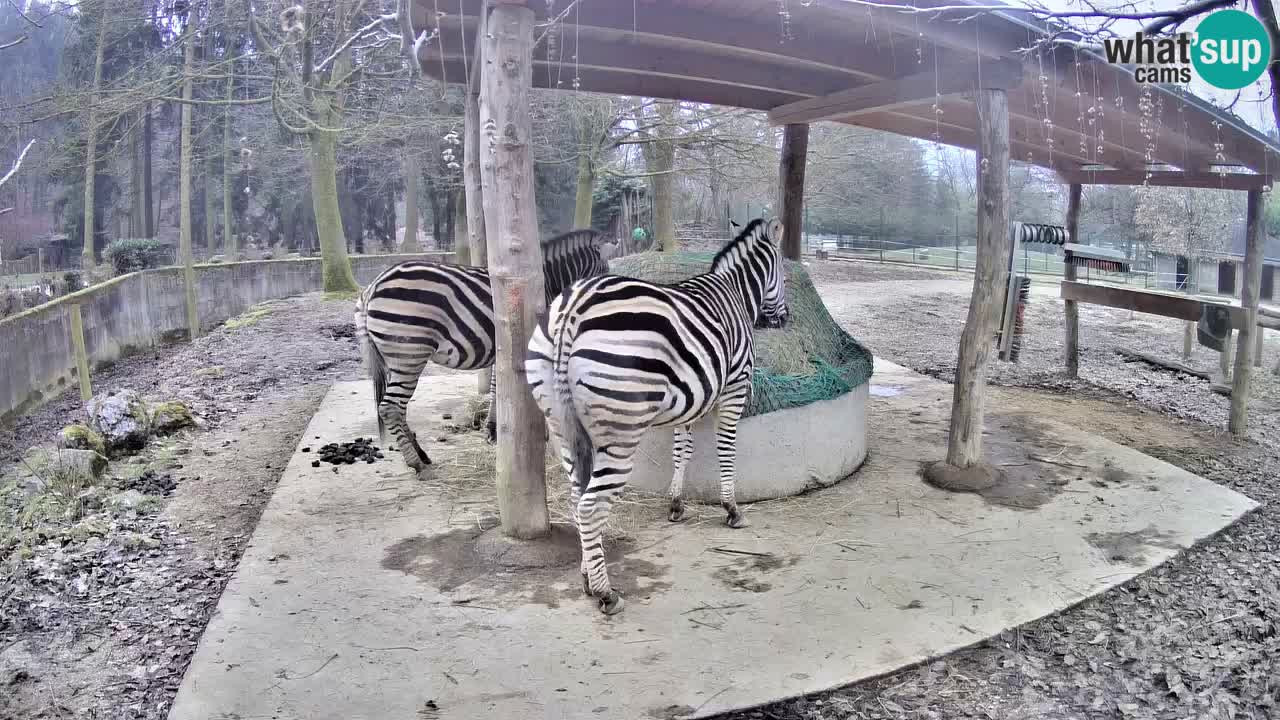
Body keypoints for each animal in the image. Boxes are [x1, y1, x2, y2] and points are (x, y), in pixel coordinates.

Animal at [353, 229, 606, 474]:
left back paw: (421, 455)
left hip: (396, 358)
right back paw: (415, 462)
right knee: (390, 407)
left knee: (398, 407)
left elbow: (496, 388)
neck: (550, 281)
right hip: (408, 353)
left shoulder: (500, 350)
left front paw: (493, 431)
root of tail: (372, 287)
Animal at [522, 213, 783, 609]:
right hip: (621, 431)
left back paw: (587, 575)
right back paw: (605, 593)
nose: (782, 320)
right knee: (590, 505)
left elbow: (682, 450)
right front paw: (732, 509)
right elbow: (725, 448)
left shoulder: (692, 396)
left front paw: (676, 504)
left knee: (576, 495)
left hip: (560, 422)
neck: (735, 292)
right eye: (783, 270)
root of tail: (574, 306)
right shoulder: (734, 385)